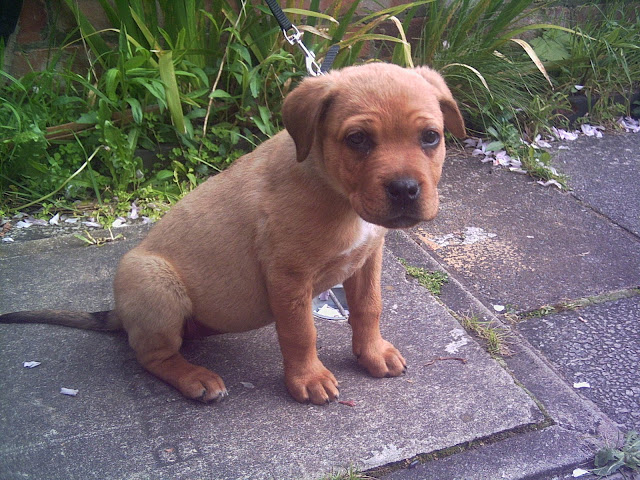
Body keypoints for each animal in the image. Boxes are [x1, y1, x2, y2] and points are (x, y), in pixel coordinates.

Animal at [0, 62, 464, 404]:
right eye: (358, 139)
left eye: (430, 137)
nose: (404, 189)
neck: (334, 191)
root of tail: (119, 312)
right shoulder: (288, 277)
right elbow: (301, 333)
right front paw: (308, 379)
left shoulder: (368, 259)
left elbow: (368, 308)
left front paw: (372, 353)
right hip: (153, 284)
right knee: (150, 355)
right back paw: (196, 378)